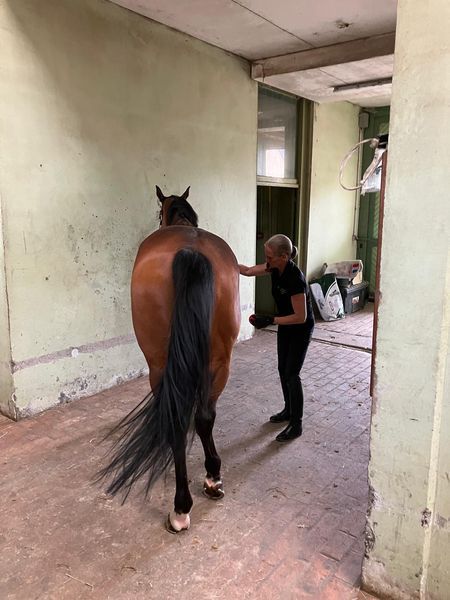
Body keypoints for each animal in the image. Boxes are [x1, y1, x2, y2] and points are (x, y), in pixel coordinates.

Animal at [99, 185, 241, 533]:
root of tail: (190, 251)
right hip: (220, 362)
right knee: (204, 417)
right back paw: (213, 479)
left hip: (159, 365)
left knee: (177, 419)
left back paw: (180, 508)